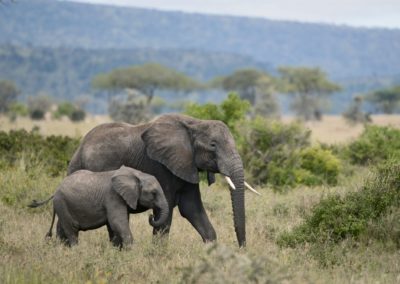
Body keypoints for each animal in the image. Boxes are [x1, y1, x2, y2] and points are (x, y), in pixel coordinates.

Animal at [28, 165, 168, 247]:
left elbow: (114, 225)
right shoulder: (113, 196)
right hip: (62, 203)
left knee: (62, 229)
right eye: (153, 193)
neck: (137, 175)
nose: (151, 216)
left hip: (62, 205)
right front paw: (130, 252)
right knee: (72, 231)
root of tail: (55, 190)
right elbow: (118, 222)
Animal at [67, 113, 252, 246]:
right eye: (213, 145)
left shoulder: (186, 164)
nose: (241, 247)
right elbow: (167, 209)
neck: (194, 123)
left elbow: (192, 208)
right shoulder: (161, 166)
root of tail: (78, 149)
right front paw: (158, 254)